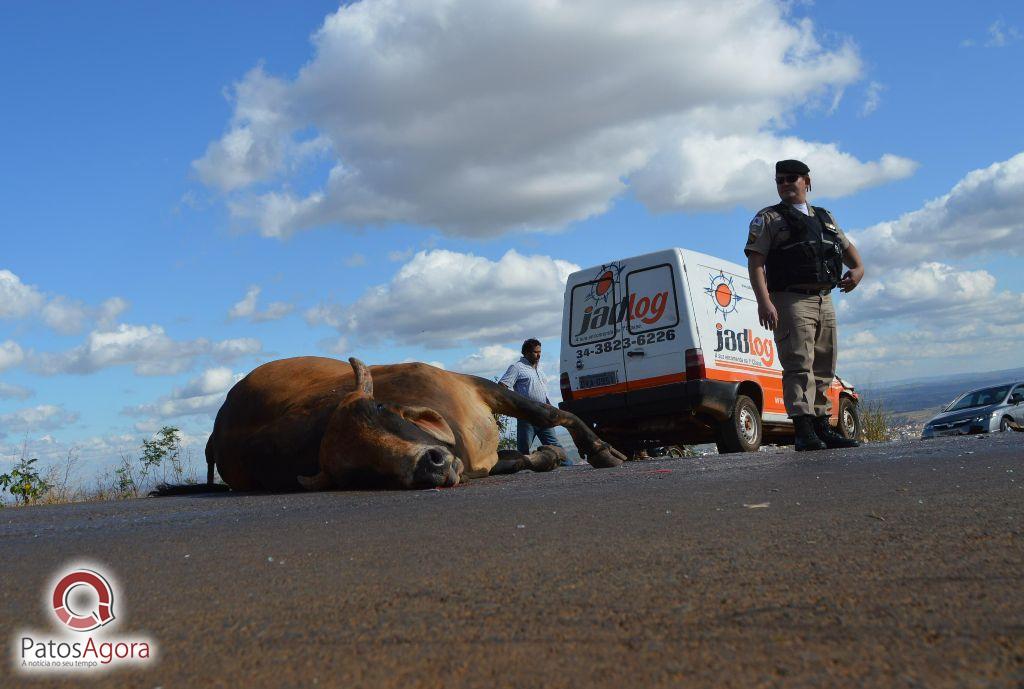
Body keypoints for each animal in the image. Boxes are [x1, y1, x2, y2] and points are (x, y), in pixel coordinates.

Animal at [153, 354, 622, 495]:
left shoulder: (479, 386)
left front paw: (600, 451)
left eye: (379, 410)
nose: (429, 465)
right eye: (359, 472)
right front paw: (554, 453)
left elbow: (549, 415)